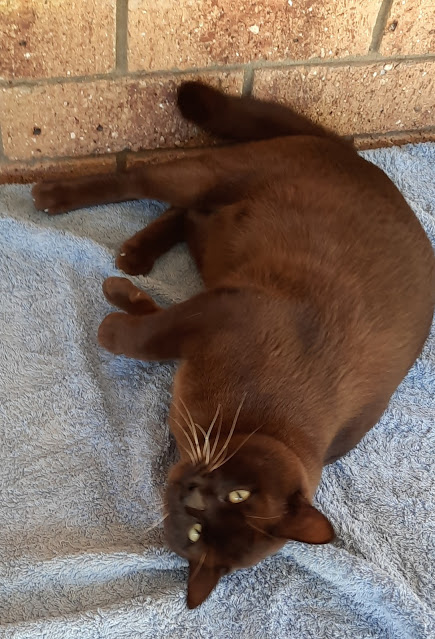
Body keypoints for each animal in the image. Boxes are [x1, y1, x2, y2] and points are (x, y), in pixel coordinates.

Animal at [32, 81, 435, 608]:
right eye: (240, 494)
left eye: (198, 533)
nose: (194, 494)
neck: (241, 424)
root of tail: (358, 156)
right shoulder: (221, 310)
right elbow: (139, 335)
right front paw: (114, 312)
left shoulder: (207, 313)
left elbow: (145, 324)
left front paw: (120, 302)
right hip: (214, 177)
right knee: (141, 181)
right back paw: (58, 201)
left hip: (217, 239)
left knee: (189, 216)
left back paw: (135, 256)